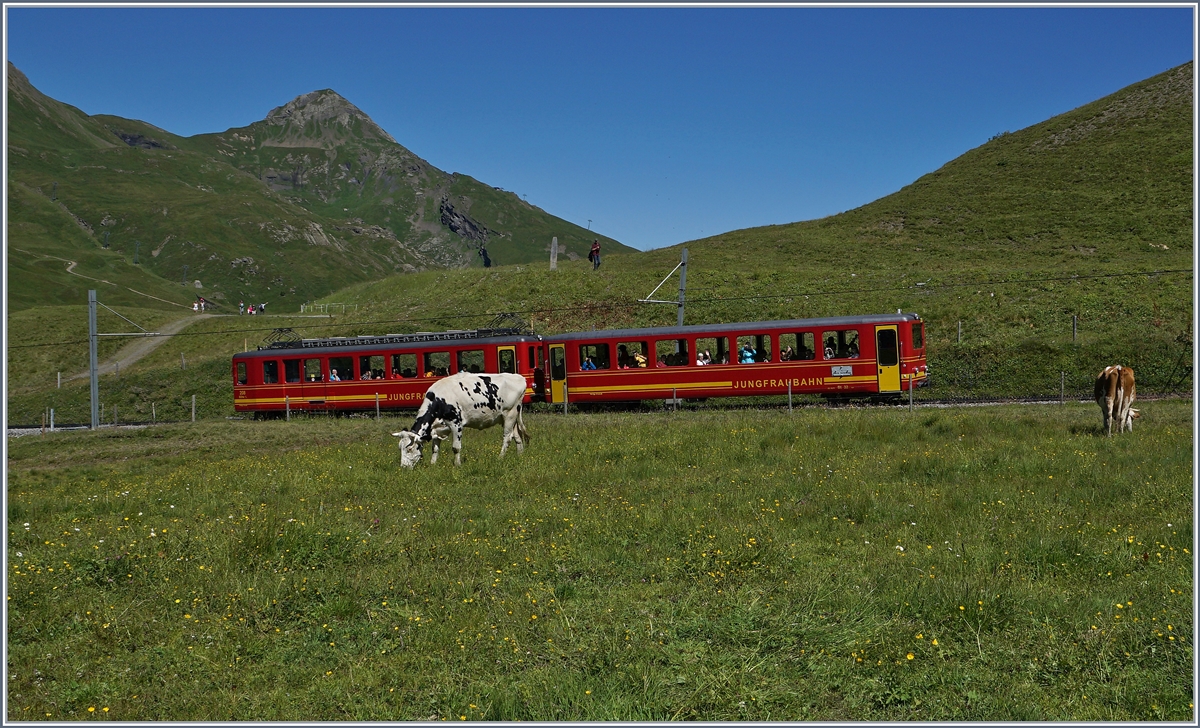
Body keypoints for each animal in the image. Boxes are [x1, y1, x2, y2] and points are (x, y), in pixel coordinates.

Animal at [391, 374, 528, 470]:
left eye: (409, 449)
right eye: (400, 448)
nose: (403, 467)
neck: (439, 400)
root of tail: (519, 377)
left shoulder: (456, 424)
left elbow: (456, 447)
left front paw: (457, 465)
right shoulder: (437, 429)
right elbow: (435, 449)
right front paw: (433, 464)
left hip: (510, 414)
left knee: (507, 438)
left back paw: (500, 458)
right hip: (510, 417)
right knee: (517, 436)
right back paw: (520, 456)